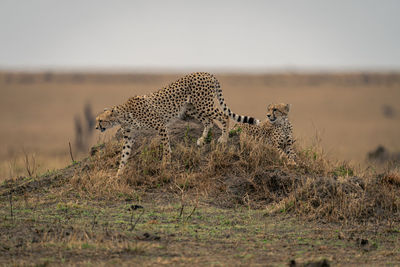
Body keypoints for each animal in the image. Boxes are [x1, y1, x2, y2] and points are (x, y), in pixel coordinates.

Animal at [96, 71, 260, 176]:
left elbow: (165, 146)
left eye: (100, 120)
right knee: (209, 121)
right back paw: (202, 140)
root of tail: (206, 73)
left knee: (224, 116)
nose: (96, 127)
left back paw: (223, 139)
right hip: (192, 107)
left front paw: (166, 162)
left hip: (203, 104)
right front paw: (118, 175)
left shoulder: (160, 125)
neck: (123, 116)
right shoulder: (129, 136)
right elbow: (124, 155)